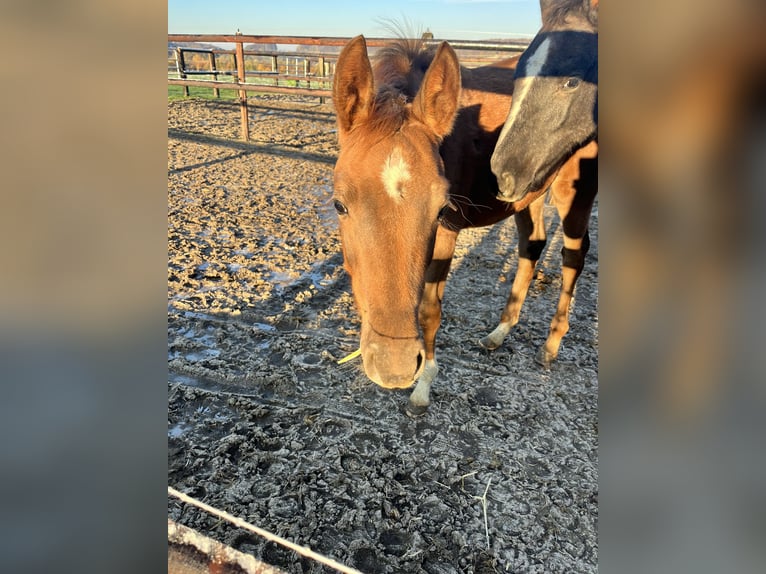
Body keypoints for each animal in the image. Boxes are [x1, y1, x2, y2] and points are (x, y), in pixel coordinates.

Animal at [332, 33, 596, 416]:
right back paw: (500, 332)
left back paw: (551, 345)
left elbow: (430, 309)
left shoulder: (447, 232)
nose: (393, 367)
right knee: (531, 245)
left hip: (574, 190)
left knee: (574, 256)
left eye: (440, 209)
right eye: (339, 205)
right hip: (525, 194)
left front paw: (423, 387)